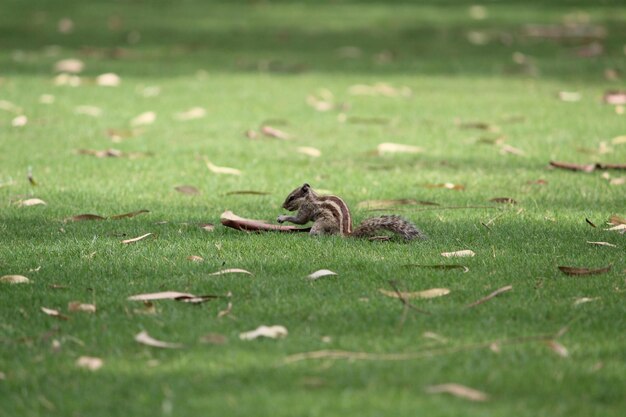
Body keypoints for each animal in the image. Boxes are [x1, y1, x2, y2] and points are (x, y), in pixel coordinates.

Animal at [276, 183, 424, 240]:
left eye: (291, 197)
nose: (283, 205)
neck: (310, 198)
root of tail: (347, 233)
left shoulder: (306, 208)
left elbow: (300, 220)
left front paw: (282, 217)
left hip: (322, 222)